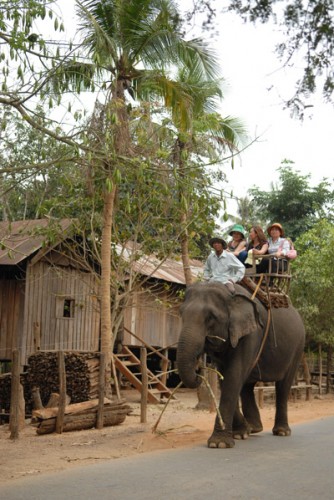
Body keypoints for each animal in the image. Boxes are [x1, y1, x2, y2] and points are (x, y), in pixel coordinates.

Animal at [177, 282, 306, 450]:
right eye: (181, 313)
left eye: (211, 317)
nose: (198, 368)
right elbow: (225, 378)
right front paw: (240, 433)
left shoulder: (251, 334)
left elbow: (234, 375)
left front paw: (219, 444)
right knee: (247, 386)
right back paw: (255, 428)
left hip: (298, 346)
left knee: (283, 386)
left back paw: (282, 432)